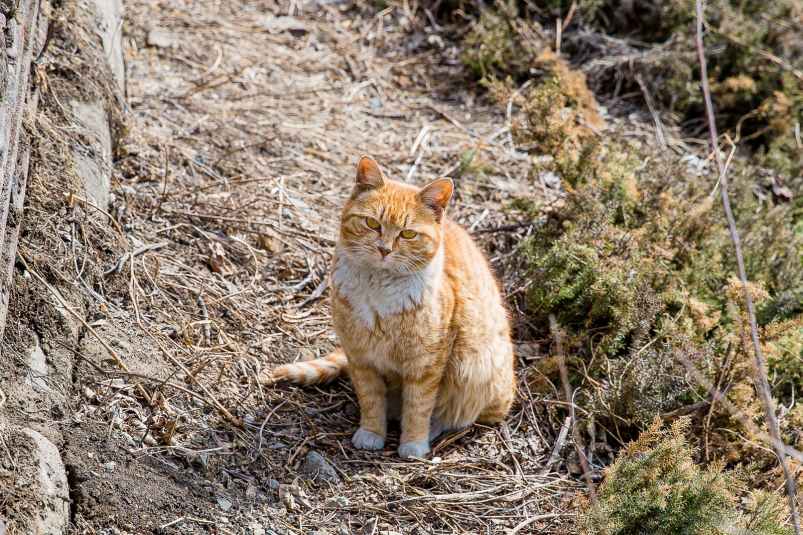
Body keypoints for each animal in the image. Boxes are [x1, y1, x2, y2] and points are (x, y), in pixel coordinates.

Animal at [266, 157, 520, 458]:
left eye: (408, 233)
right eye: (372, 223)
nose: (384, 249)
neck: (378, 291)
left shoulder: (425, 363)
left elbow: (419, 405)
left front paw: (413, 442)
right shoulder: (360, 357)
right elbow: (371, 399)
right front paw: (372, 432)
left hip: (476, 370)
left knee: (463, 415)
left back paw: (435, 428)